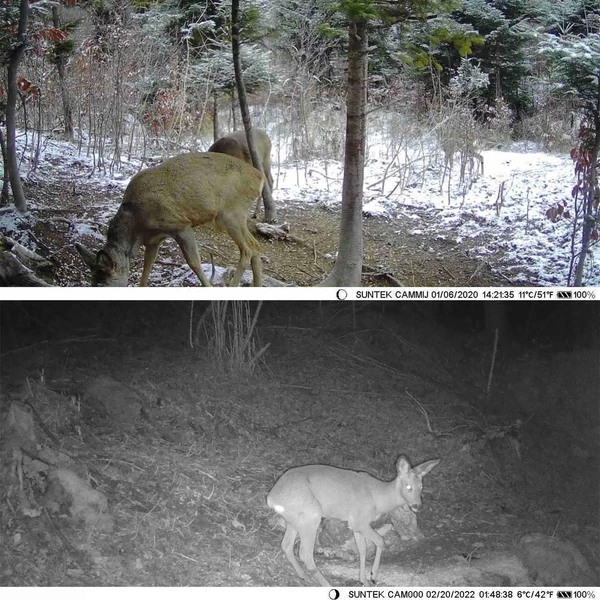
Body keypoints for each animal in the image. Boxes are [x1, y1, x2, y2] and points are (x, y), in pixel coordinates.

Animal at [76, 154, 264, 288]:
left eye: (102, 284)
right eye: (92, 283)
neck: (136, 223)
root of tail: (260, 177)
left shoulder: (180, 224)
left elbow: (194, 263)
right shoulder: (154, 239)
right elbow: (147, 265)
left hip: (231, 213)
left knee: (247, 250)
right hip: (236, 216)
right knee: (255, 245)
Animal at [266, 454, 436, 584]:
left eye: (421, 486)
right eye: (408, 486)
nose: (417, 506)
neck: (378, 499)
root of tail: (272, 498)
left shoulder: (355, 524)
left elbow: (362, 550)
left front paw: (363, 581)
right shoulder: (360, 521)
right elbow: (380, 540)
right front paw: (373, 576)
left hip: (294, 520)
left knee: (286, 545)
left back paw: (304, 577)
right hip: (311, 515)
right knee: (305, 554)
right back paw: (326, 584)